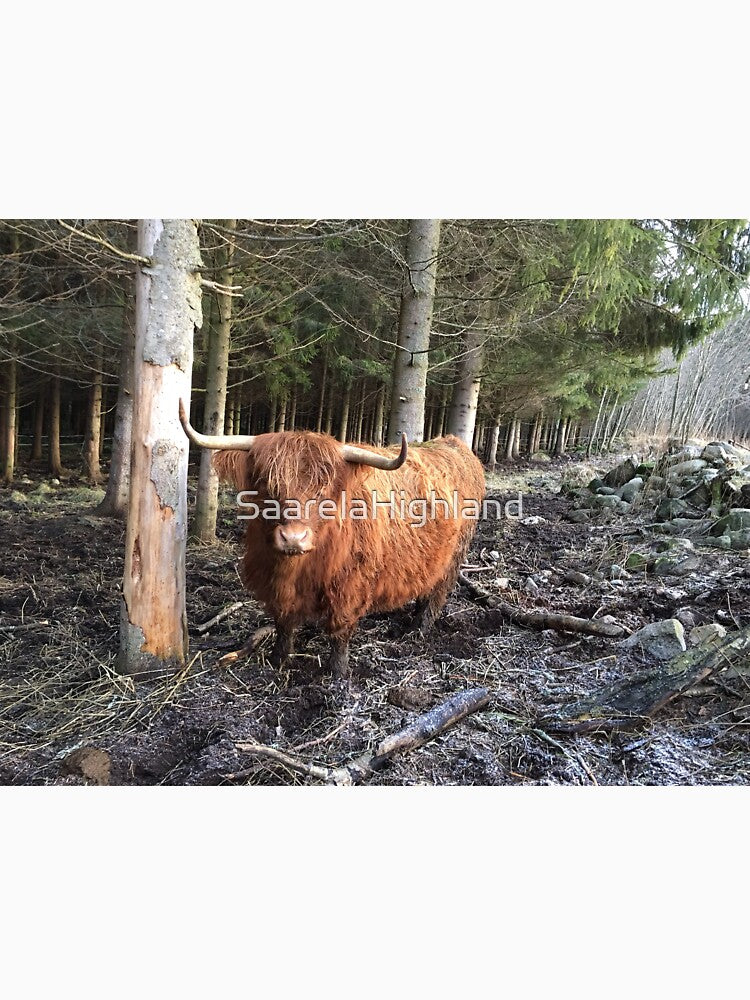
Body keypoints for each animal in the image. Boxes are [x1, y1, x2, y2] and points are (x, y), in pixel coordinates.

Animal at [179, 402, 485, 680]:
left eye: (323, 490)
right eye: (267, 483)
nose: (293, 538)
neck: (296, 568)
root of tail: (454, 445)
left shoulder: (350, 585)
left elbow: (340, 631)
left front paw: (337, 674)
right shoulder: (274, 584)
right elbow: (283, 622)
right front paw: (278, 659)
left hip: (455, 555)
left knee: (437, 593)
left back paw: (417, 630)